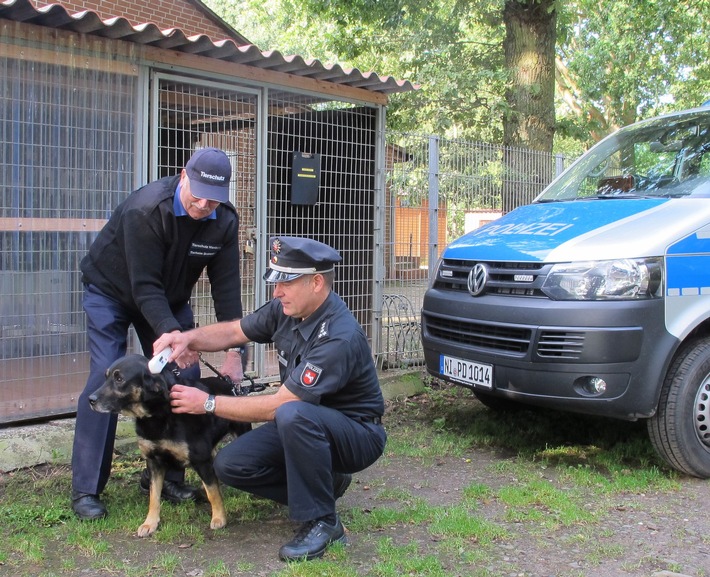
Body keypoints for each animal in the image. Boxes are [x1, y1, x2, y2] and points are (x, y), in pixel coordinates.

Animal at [88, 354, 250, 536]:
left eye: (119, 379)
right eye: (106, 377)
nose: (90, 400)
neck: (156, 415)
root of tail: (230, 385)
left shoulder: (201, 459)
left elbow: (213, 492)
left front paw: (219, 518)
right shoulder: (154, 461)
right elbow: (154, 496)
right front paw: (150, 523)